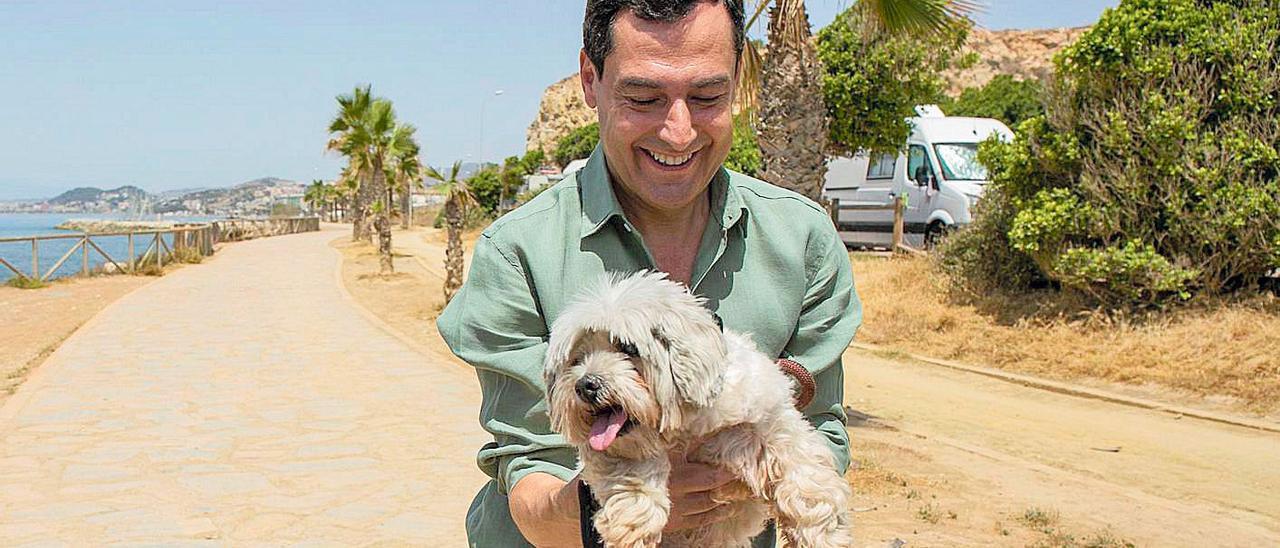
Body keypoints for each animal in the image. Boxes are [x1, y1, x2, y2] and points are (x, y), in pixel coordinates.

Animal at [540, 271, 849, 545]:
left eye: (628, 348)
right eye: (576, 359)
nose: (585, 385)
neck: (684, 430)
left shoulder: (772, 422)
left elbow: (806, 478)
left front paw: (821, 532)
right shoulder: (613, 451)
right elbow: (630, 470)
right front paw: (633, 520)